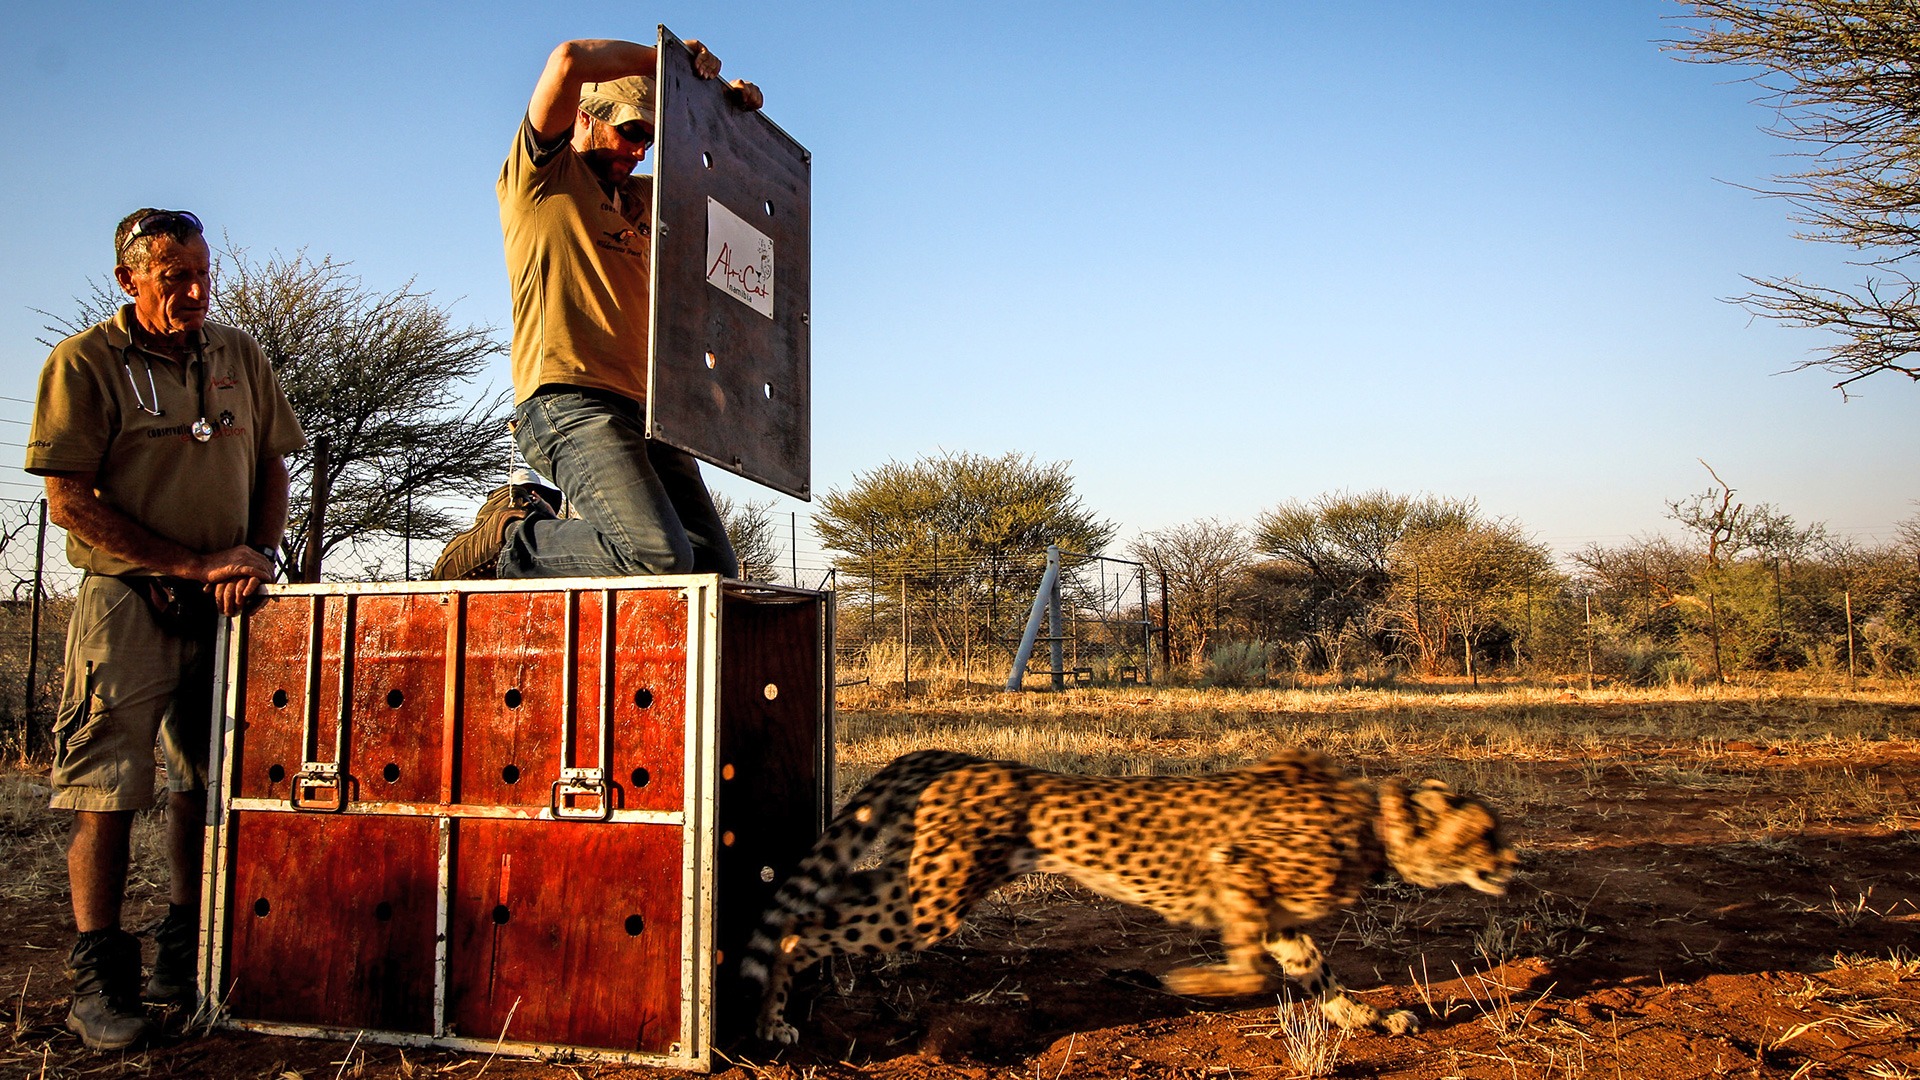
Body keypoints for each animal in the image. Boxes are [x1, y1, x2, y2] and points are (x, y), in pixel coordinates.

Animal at [739, 748, 1516, 1045]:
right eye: (1483, 831)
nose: (1514, 861)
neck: (1373, 819)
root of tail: (961, 758)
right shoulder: (1235, 870)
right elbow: (1252, 971)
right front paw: (1191, 982)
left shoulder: (1276, 916)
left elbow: (1314, 970)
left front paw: (1364, 1019)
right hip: (931, 900)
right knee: (800, 926)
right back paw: (771, 1022)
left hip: (918, 878)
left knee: (811, 909)